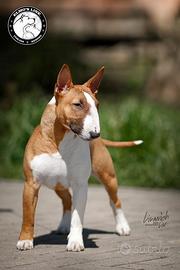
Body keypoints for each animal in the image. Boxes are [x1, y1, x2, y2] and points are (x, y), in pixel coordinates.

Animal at [16, 64, 143, 252]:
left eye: (97, 105)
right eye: (78, 104)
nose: (96, 134)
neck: (60, 143)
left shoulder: (80, 185)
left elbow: (78, 217)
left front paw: (75, 242)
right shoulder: (31, 184)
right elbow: (28, 215)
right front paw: (25, 240)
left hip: (108, 177)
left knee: (115, 201)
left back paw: (122, 227)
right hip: (58, 184)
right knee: (67, 200)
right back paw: (63, 226)